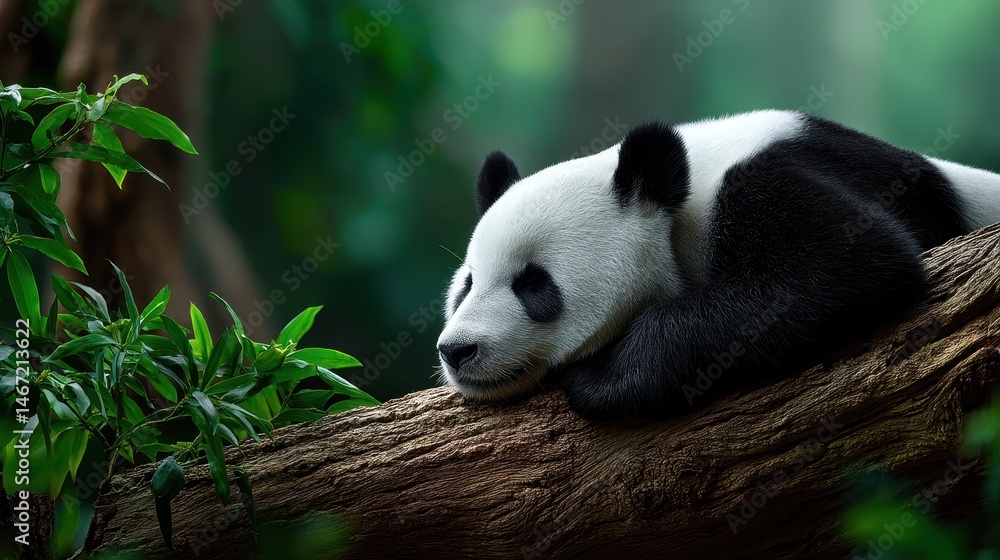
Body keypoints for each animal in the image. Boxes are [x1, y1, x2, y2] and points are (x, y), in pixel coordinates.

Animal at [436, 110, 1000, 419]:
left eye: (533, 284)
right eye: (467, 285)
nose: (456, 350)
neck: (679, 198)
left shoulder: (766, 176)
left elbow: (849, 263)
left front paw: (602, 375)